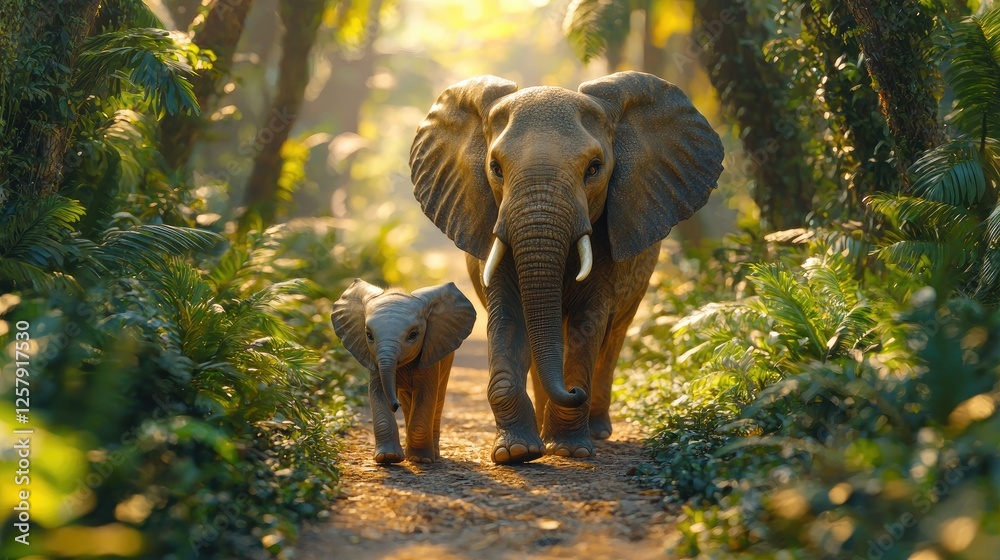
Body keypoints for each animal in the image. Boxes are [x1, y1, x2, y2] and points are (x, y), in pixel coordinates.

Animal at [331, 280, 476, 464]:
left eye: (413, 335)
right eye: (369, 335)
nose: (395, 405)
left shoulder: (429, 356)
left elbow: (426, 395)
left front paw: (421, 459)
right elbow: (378, 392)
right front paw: (388, 458)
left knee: (438, 399)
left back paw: (433, 454)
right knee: (408, 404)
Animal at [409, 71, 724, 464]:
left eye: (594, 168)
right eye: (496, 169)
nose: (574, 392)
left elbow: (587, 323)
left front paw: (570, 450)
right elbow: (508, 319)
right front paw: (517, 452)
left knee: (614, 334)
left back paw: (596, 430)